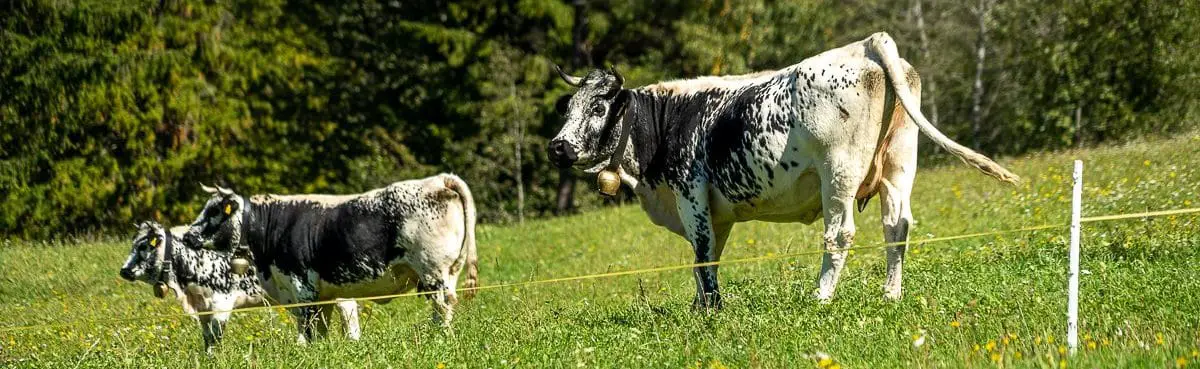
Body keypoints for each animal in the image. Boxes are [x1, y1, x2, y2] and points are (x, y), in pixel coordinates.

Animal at [117, 220, 274, 352]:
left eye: (143, 246)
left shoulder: (222, 305)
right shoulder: (203, 309)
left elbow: (216, 336)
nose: (124, 271)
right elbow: (208, 337)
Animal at [549, 31, 1017, 309]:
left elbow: (702, 253)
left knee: (839, 234)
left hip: (838, 172)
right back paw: (891, 295)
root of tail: (866, 43)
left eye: (598, 108)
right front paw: (701, 307)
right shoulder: (717, 212)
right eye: (569, 107)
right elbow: (707, 257)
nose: (557, 148)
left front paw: (711, 312)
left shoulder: (690, 195)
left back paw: (821, 297)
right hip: (899, 164)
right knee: (897, 226)